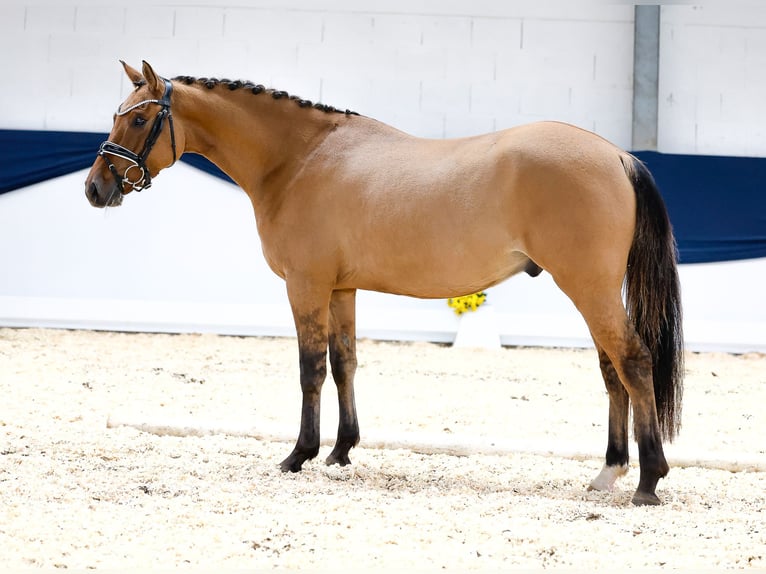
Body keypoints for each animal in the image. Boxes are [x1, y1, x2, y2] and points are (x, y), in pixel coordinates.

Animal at [84, 60, 684, 506]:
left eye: (138, 120)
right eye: (116, 116)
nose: (95, 188)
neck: (299, 160)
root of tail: (617, 155)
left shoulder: (305, 285)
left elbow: (310, 369)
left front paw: (298, 455)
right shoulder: (340, 290)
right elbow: (344, 364)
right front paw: (341, 452)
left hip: (589, 288)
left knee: (632, 362)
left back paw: (647, 480)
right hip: (591, 291)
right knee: (612, 371)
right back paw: (608, 473)